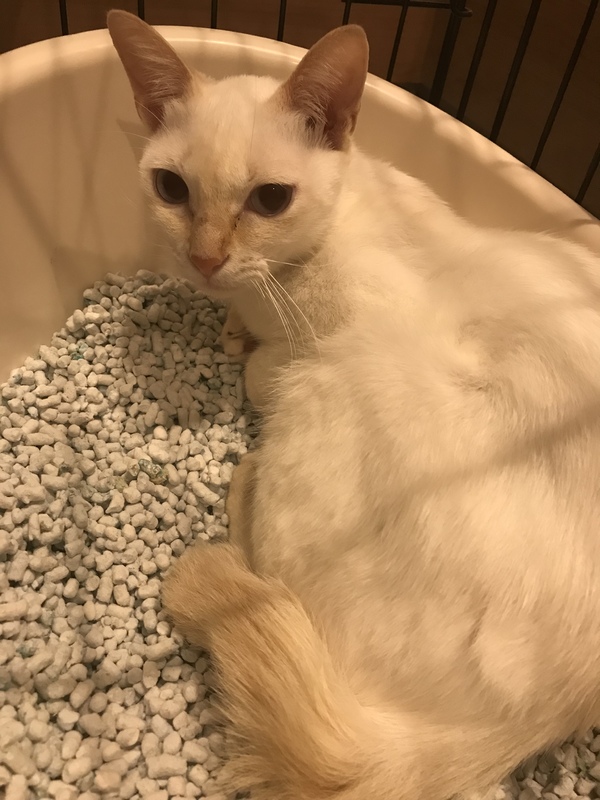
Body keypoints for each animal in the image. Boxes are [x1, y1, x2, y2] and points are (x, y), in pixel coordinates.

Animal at [108, 10, 600, 800]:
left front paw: (244, 347)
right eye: (172, 187)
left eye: (270, 199)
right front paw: (232, 327)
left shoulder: (318, 342)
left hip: (337, 383)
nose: (206, 260)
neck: (277, 284)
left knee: (264, 567)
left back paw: (244, 481)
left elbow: (261, 372)